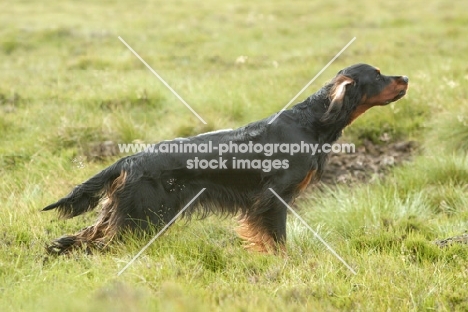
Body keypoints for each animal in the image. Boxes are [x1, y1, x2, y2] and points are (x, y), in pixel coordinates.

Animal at [44, 63, 410, 254]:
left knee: (80, 238)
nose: (406, 77)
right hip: (141, 217)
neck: (311, 122)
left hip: (127, 214)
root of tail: (129, 161)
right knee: (100, 244)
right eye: (378, 75)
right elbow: (276, 238)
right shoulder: (272, 198)